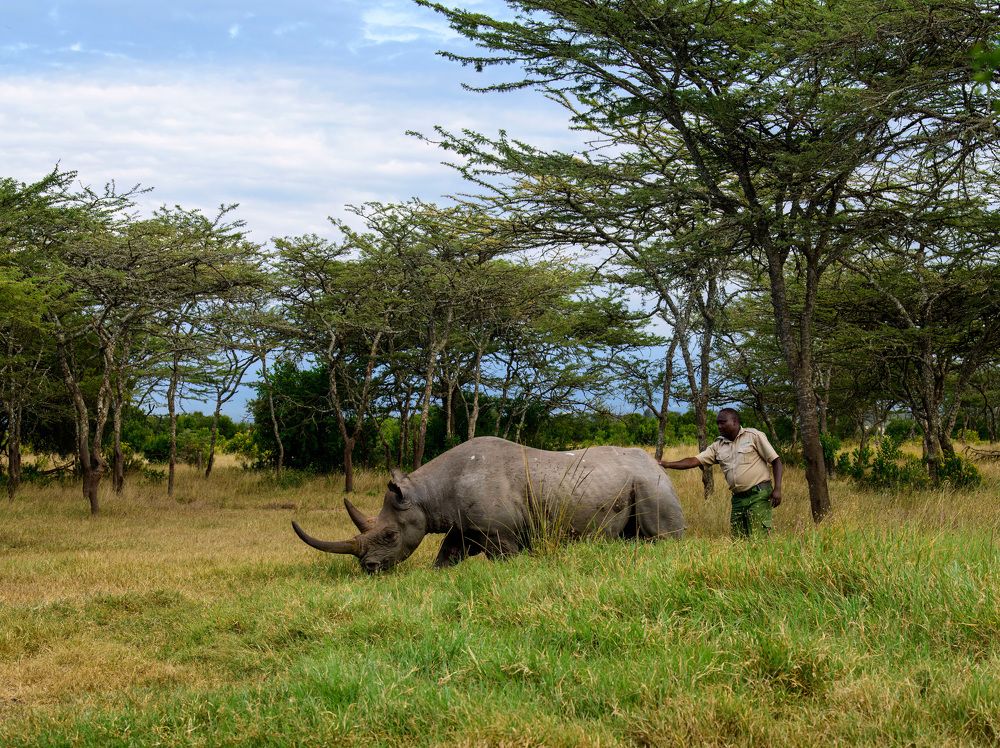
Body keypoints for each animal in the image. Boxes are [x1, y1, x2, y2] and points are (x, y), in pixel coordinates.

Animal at [292, 436, 685, 573]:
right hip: (640, 480)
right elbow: (447, 555)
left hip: (652, 485)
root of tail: (656, 464)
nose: (369, 569)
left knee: (660, 535)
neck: (425, 494)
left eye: (390, 535)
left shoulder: (499, 533)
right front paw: (437, 573)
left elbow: (503, 559)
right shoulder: (465, 527)